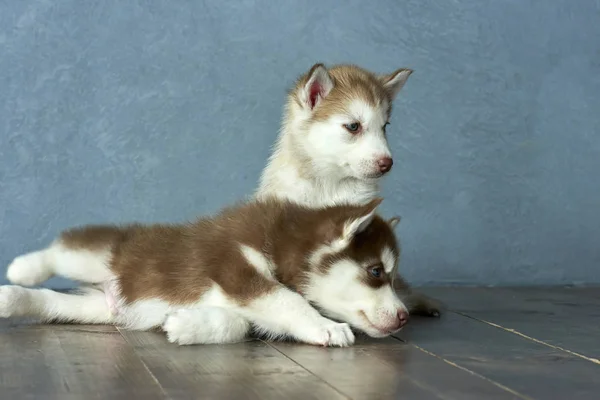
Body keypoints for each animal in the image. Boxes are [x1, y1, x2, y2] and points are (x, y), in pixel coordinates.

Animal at [3, 198, 408, 346]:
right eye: (376, 272)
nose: (404, 316)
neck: (278, 245)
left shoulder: (243, 296)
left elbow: (241, 324)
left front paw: (186, 325)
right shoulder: (235, 266)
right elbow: (287, 300)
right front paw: (325, 327)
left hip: (98, 309)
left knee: (51, 302)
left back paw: (11, 299)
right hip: (101, 256)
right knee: (61, 251)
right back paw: (21, 269)